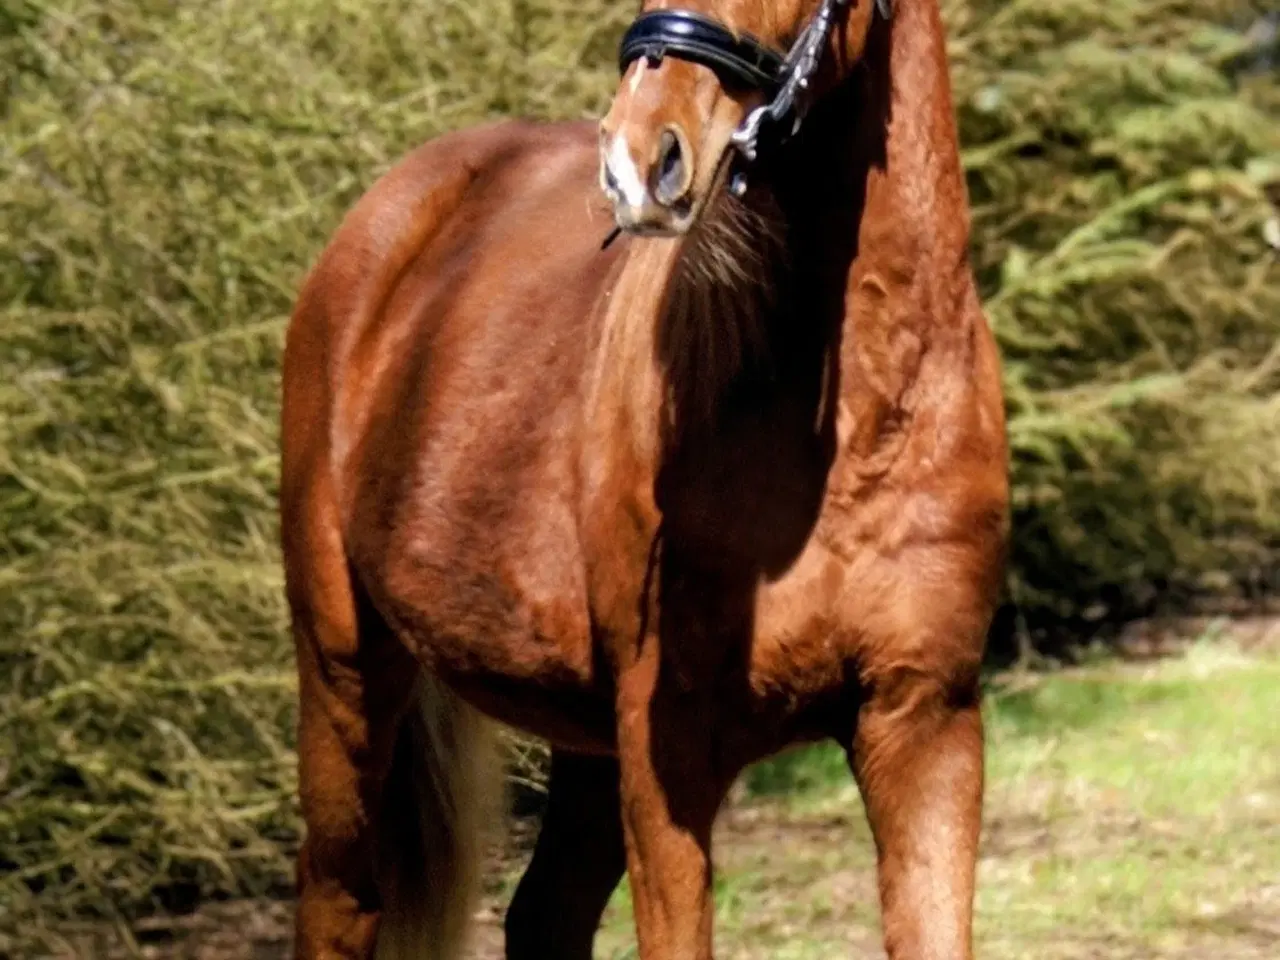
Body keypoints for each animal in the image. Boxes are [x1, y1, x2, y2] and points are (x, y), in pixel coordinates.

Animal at [278, 0, 1009, 956]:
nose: (636, 162)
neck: (862, 420)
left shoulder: (925, 724)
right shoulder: (669, 753)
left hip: (582, 737)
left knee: (542, 914)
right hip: (344, 675)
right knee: (339, 900)